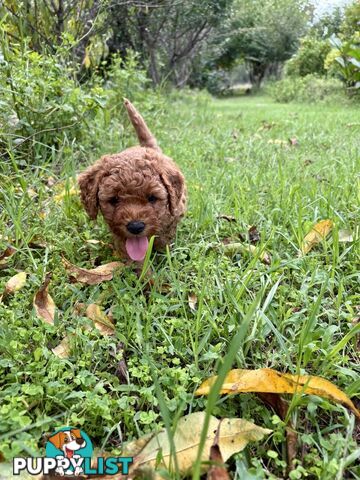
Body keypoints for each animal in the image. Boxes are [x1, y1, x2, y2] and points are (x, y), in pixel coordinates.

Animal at [78, 99, 186, 260]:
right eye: (114, 200)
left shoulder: (174, 215)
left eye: (152, 198)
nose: (135, 227)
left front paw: (163, 252)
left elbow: (165, 238)